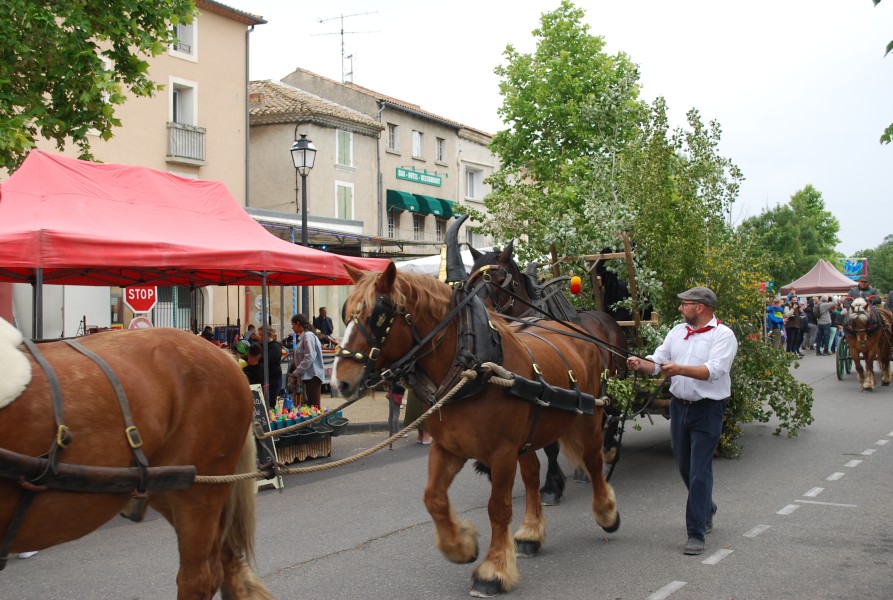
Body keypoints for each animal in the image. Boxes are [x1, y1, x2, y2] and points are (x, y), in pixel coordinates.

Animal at [332, 264, 616, 596]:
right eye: (346, 313)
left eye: (379, 313)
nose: (340, 382)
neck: (473, 368)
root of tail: (577, 330)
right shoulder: (448, 448)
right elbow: (433, 498)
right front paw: (460, 546)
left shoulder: (502, 454)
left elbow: (498, 508)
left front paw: (493, 570)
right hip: (528, 437)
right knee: (533, 477)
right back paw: (531, 533)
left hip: (589, 416)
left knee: (594, 461)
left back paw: (606, 512)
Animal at [466, 241, 628, 504]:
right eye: (472, 277)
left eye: (500, 278)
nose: (480, 314)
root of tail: (606, 318)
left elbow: (551, 446)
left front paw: (552, 486)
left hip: (613, 379)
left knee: (611, 412)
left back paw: (608, 450)